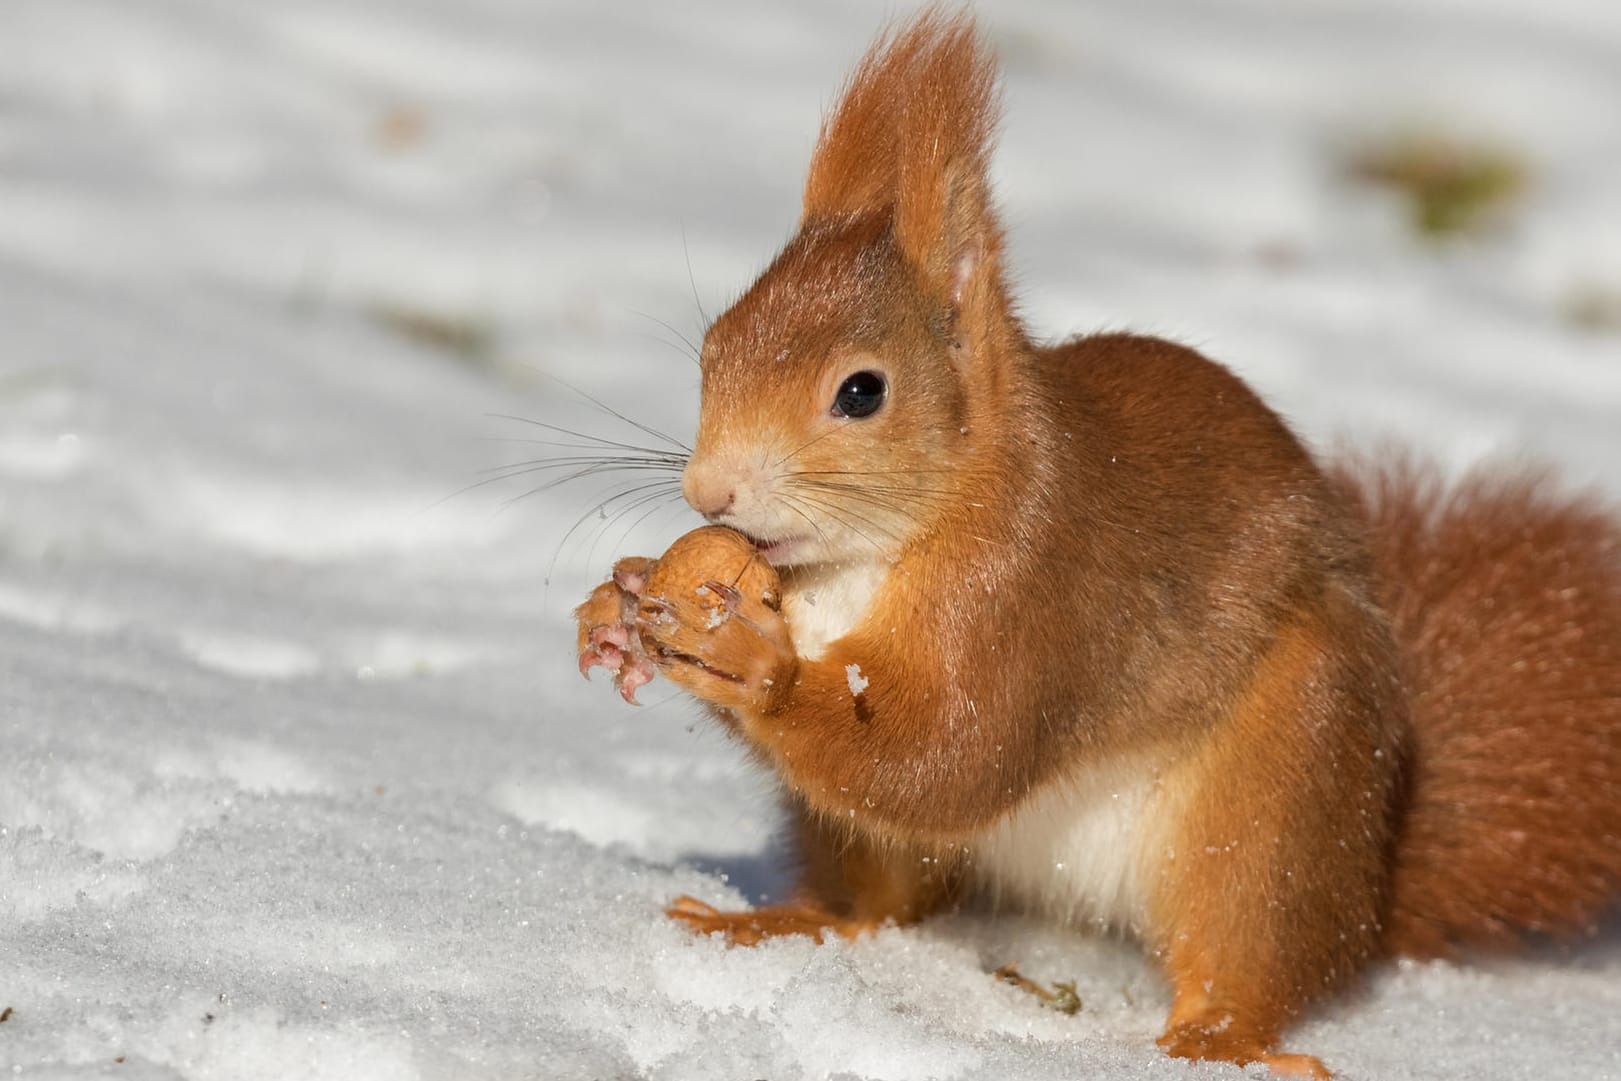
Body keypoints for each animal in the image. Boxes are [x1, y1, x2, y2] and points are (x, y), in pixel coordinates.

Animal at [570, 12, 1621, 1076]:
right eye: (713, 349)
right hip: (873, 842)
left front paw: (752, 665)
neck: (856, 561)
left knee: (1249, 937)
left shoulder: (1035, 583)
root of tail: (1371, 874)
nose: (708, 490)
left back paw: (1217, 1034)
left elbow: (947, 749)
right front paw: (618, 607)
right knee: (882, 900)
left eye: (861, 391)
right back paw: (780, 923)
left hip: (1281, 780)